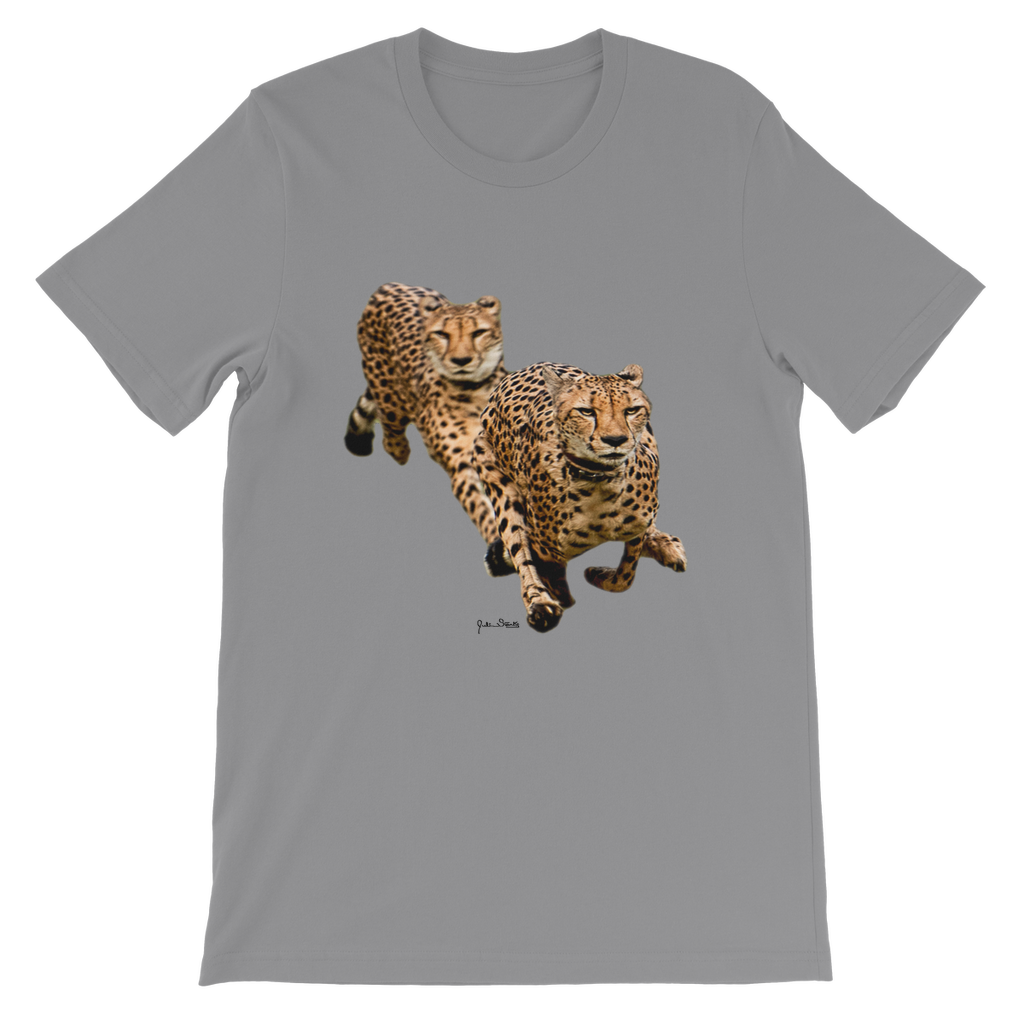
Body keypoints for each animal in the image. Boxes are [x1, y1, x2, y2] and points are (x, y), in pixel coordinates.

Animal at [345, 282, 512, 555]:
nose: (461, 360)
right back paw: (400, 449)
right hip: (390, 399)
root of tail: (389, 285)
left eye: (478, 332)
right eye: (442, 334)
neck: (474, 390)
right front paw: (498, 543)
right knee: (391, 435)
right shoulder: (462, 466)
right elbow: (482, 508)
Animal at [472, 361, 687, 632]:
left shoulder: (639, 522)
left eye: (631, 410)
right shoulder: (546, 549)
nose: (615, 440)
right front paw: (556, 597)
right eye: (586, 412)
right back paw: (540, 603)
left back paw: (666, 545)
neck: (599, 481)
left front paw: (599, 574)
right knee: (519, 547)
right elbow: (546, 570)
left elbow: (625, 575)